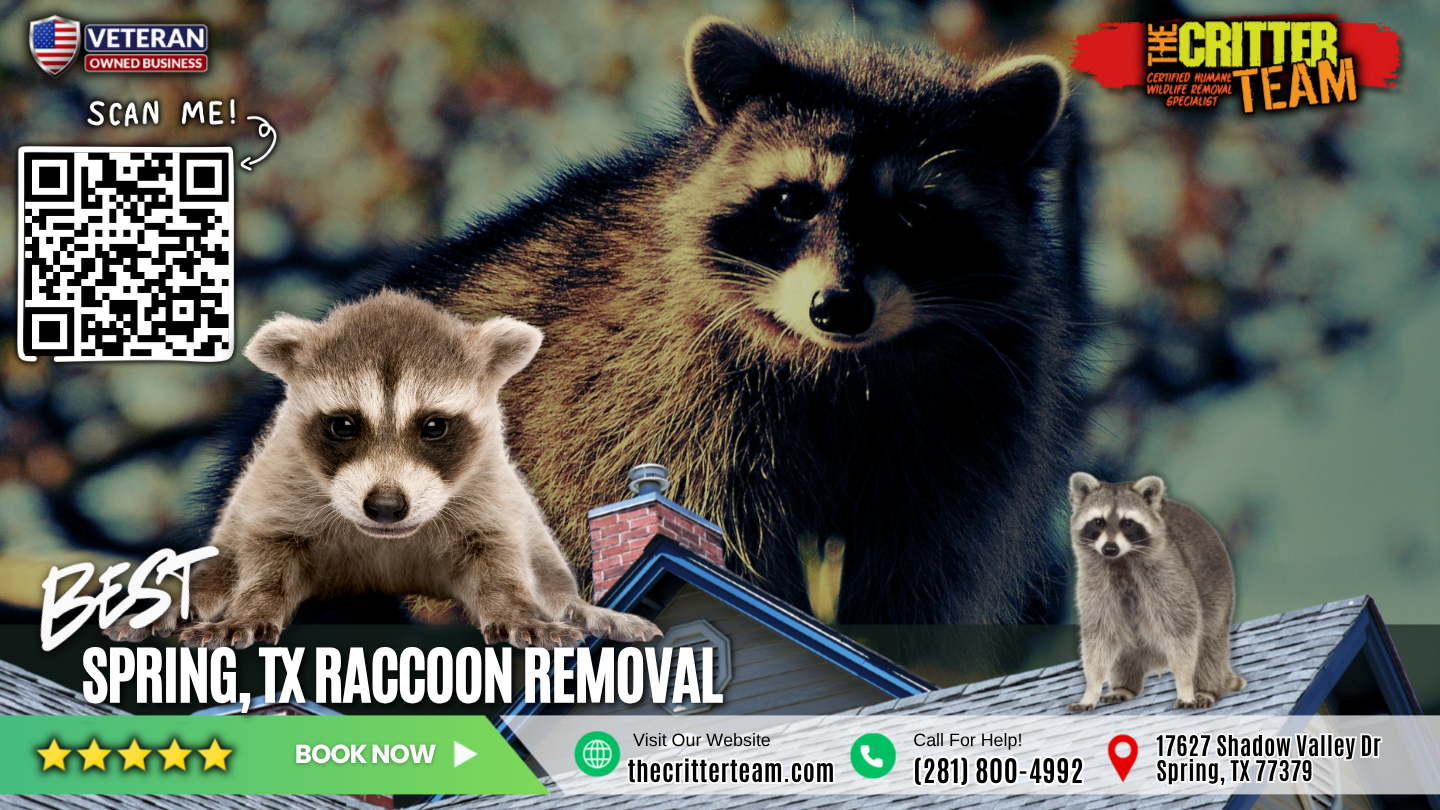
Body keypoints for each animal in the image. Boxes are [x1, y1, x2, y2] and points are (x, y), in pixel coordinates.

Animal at [107, 291, 661, 649]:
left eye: (434, 426)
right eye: (344, 425)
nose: (387, 506)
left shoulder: (487, 490)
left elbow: (497, 560)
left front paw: (517, 609)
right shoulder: (283, 482)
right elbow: (268, 560)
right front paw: (252, 608)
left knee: (545, 565)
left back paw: (578, 606)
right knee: (219, 564)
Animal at [214, 18, 1093, 624]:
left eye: (915, 215)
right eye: (791, 201)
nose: (838, 307)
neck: (844, 366)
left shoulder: (963, 446)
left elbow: (914, 582)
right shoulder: (661, 402)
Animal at [1066, 473, 1245, 711]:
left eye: (1128, 522)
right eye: (1098, 521)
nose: (1109, 549)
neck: (1121, 560)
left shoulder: (1168, 574)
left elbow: (1182, 632)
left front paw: (1185, 685)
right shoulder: (1094, 582)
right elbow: (1099, 636)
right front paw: (1091, 689)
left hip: (1219, 588)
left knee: (1210, 644)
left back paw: (1208, 688)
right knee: (1124, 651)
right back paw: (1124, 687)